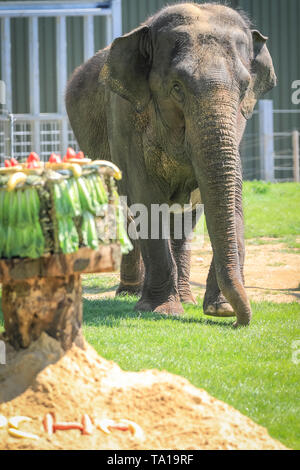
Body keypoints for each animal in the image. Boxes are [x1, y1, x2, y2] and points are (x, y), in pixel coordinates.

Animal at [66, 1, 276, 324]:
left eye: (244, 88)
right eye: (177, 87)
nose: (238, 320)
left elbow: (223, 197)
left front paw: (218, 308)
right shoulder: (125, 115)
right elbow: (146, 198)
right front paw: (160, 310)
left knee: (184, 220)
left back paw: (185, 297)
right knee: (127, 206)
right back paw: (129, 294)